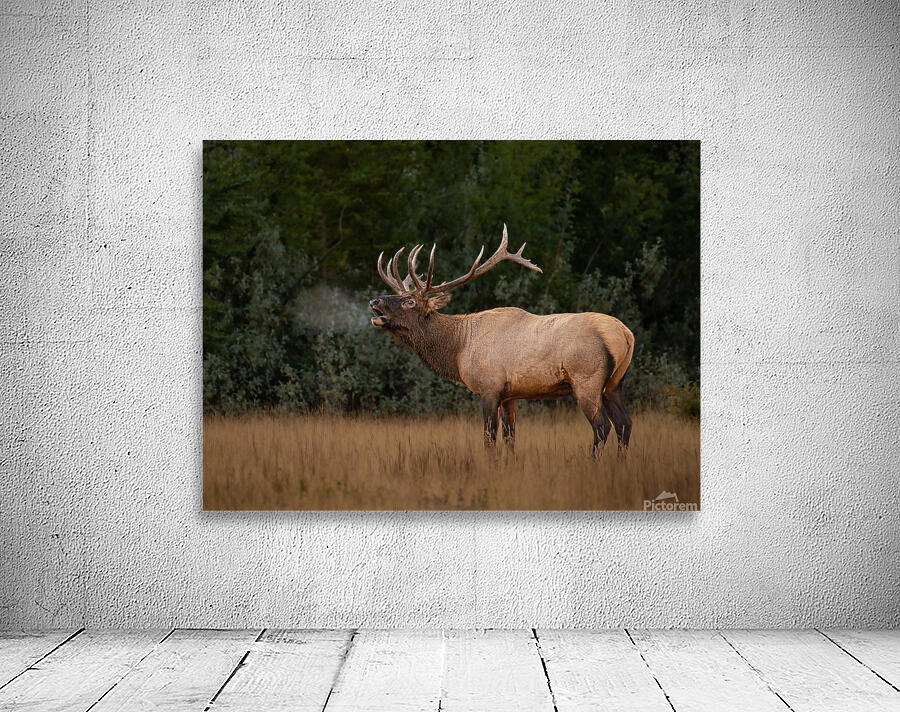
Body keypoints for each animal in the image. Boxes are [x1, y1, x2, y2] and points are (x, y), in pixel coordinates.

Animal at [368, 225, 635, 456]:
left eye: (409, 301)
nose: (374, 301)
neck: (459, 348)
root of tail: (625, 334)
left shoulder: (489, 387)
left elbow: (489, 438)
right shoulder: (510, 395)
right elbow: (510, 437)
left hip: (587, 380)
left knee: (603, 426)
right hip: (614, 384)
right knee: (625, 424)